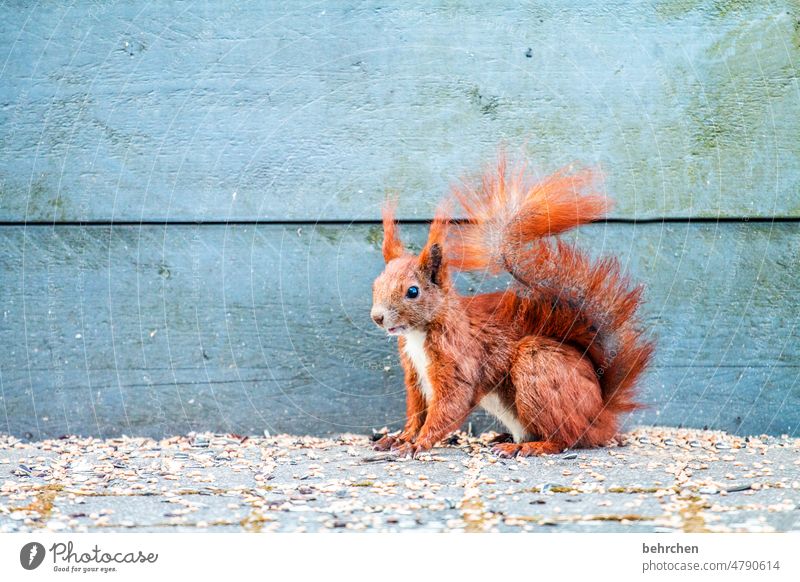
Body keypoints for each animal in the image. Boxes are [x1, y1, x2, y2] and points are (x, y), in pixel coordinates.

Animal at [372, 157, 652, 458]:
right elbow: (416, 413)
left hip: (538, 366)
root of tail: (600, 415)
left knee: (566, 438)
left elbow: (449, 405)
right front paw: (398, 439)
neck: (418, 334)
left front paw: (418, 443)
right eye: (376, 284)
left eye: (412, 291)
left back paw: (529, 446)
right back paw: (505, 439)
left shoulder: (458, 359)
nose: (377, 317)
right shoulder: (415, 376)